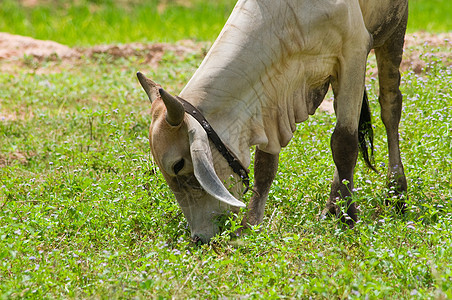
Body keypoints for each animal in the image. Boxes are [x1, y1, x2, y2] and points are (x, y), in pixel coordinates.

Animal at [138, 0, 410, 243]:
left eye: (178, 165)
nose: (198, 238)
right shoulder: (272, 96)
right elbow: (265, 166)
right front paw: (249, 225)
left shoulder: (354, 52)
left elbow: (344, 144)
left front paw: (348, 217)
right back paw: (331, 206)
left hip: (395, 28)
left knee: (390, 107)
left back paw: (397, 192)